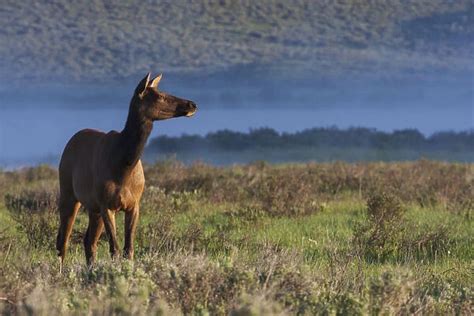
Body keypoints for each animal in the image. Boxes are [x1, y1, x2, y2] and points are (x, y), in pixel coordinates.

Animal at [56, 73, 197, 270]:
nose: (192, 105)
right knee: (63, 241)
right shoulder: (107, 206)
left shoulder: (133, 205)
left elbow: (128, 249)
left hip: (93, 208)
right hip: (69, 195)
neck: (124, 165)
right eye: (160, 96)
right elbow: (114, 249)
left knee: (88, 241)